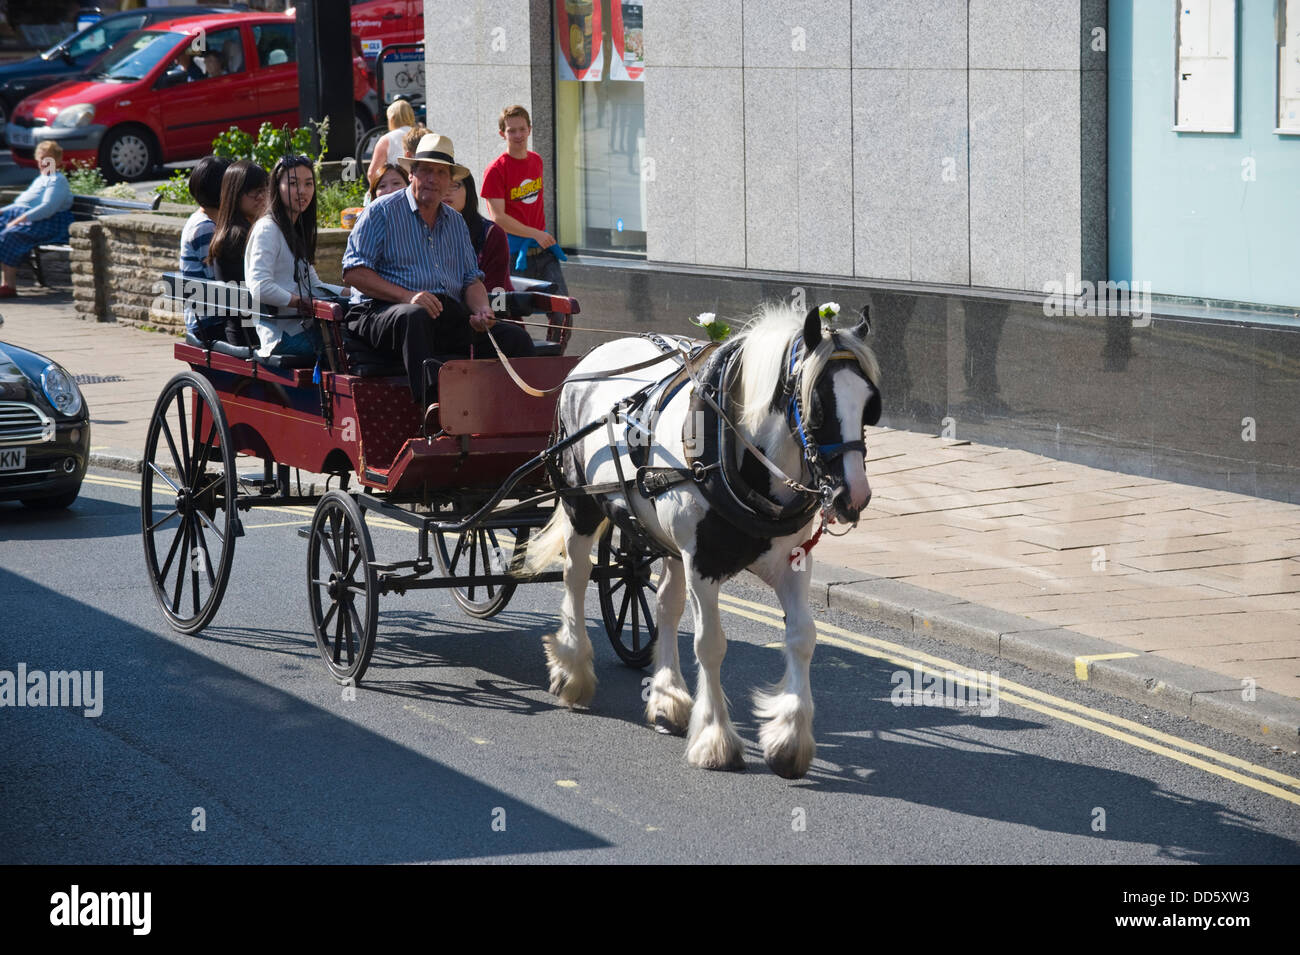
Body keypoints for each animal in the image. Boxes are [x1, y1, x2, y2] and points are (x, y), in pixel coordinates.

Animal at [518, 302, 882, 778]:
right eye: (818, 406)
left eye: (870, 406)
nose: (852, 496)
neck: (738, 453)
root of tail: (591, 357)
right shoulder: (702, 562)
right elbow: (711, 644)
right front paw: (714, 739)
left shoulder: (792, 562)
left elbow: (803, 637)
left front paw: (789, 739)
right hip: (583, 506)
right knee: (577, 577)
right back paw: (574, 671)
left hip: (666, 537)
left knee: (665, 604)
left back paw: (667, 698)